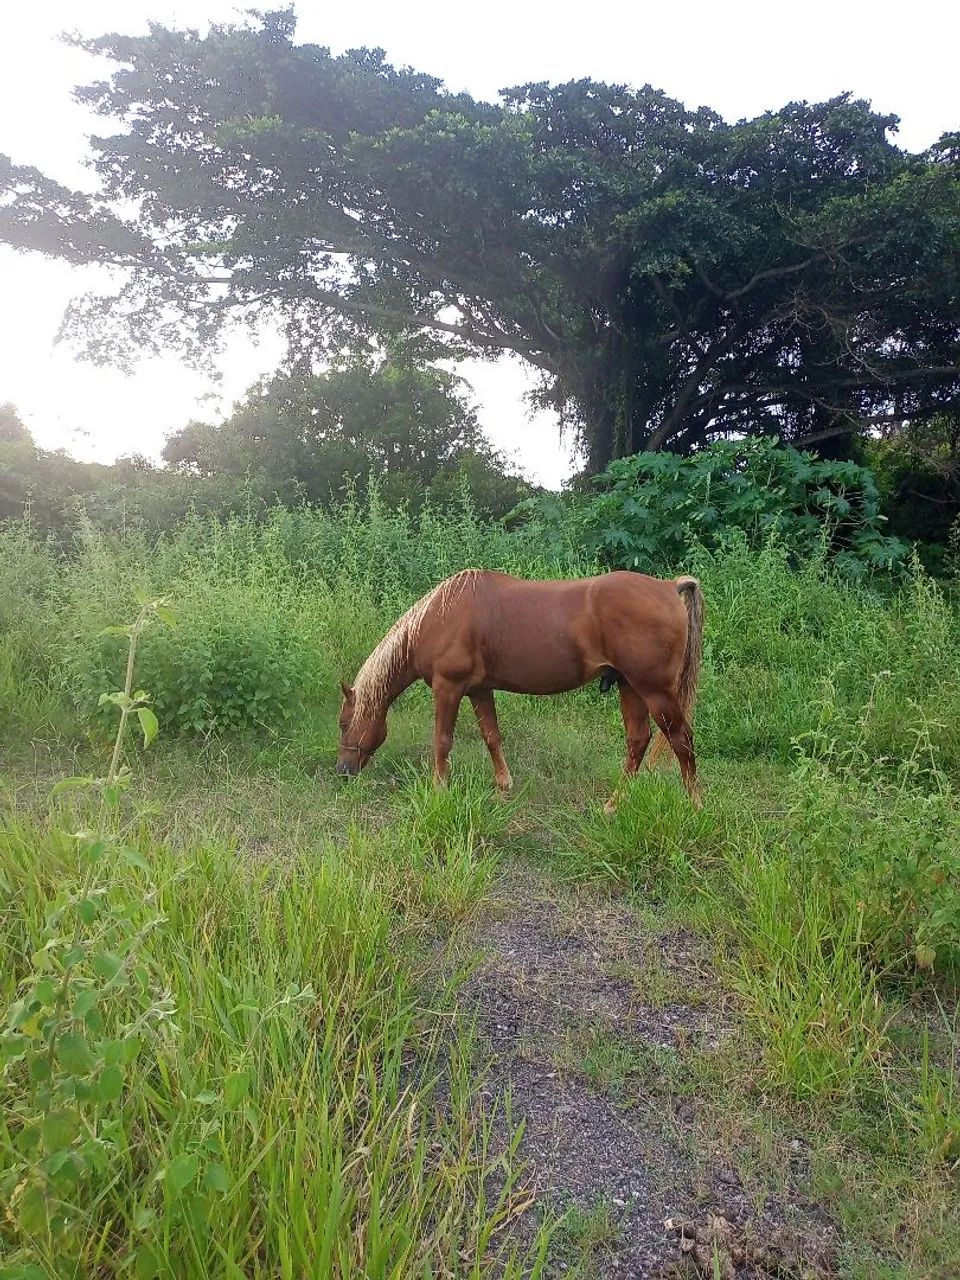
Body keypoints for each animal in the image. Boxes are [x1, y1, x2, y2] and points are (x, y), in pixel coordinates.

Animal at [336, 569, 704, 807]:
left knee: (681, 740)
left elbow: (442, 741)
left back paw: (694, 805)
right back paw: (613, 805)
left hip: (654, 691)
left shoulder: (448, 688)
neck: (437, 618)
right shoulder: (479, 690)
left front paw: (439, 790)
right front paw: (503, 786)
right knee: (638, 741)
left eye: (343, 723)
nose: (342, 771)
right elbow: (491, 736)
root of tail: (668, 586)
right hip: (630, 687)